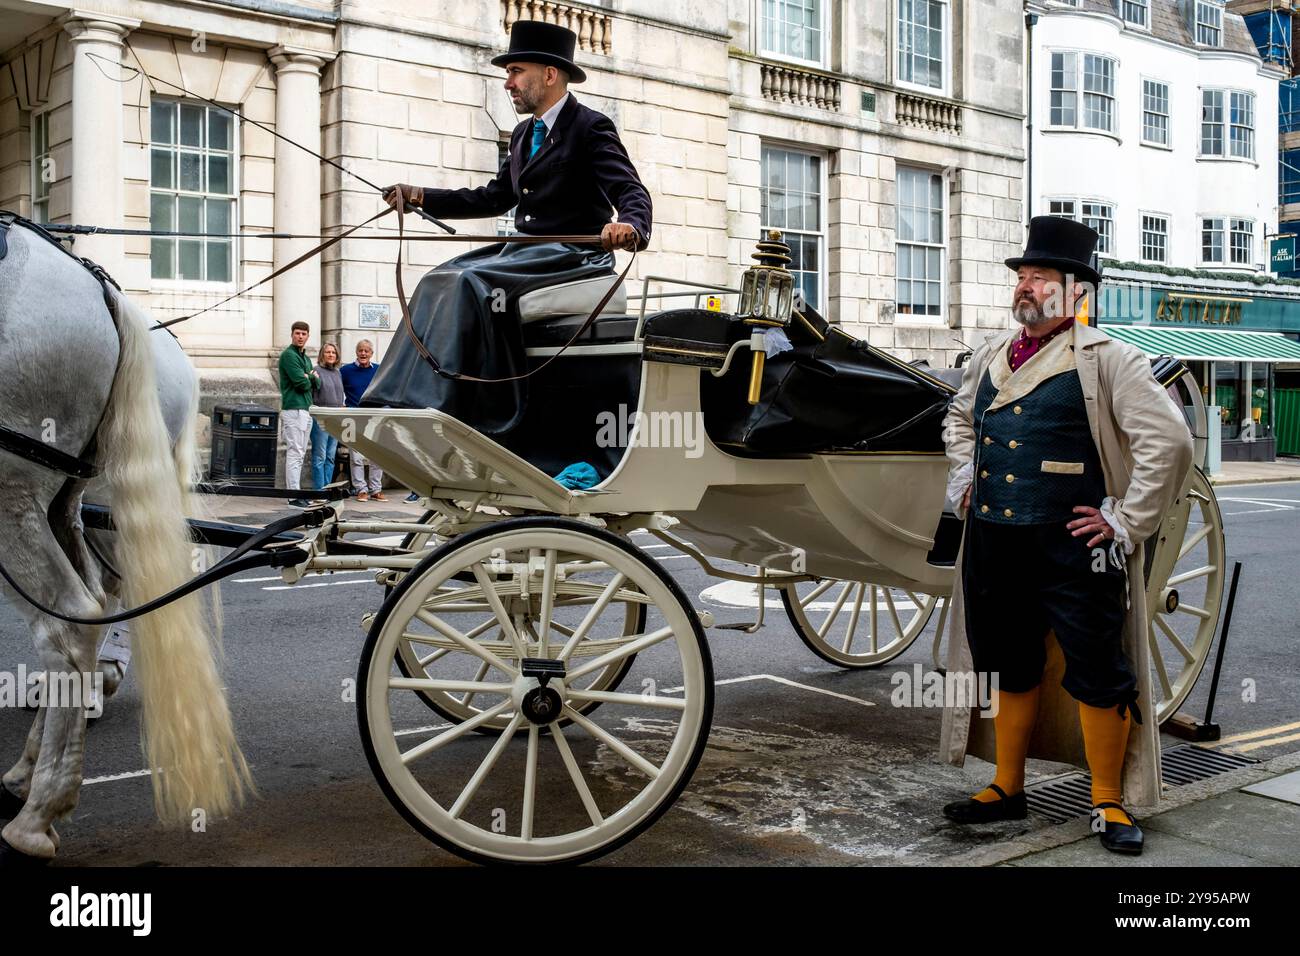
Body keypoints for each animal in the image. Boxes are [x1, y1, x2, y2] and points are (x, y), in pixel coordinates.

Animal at [0, 221, 250, 863]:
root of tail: (100, 287)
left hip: (19, 492)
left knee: (72, 618)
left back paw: (38, 814)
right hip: (70, 498)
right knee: (96, 599)